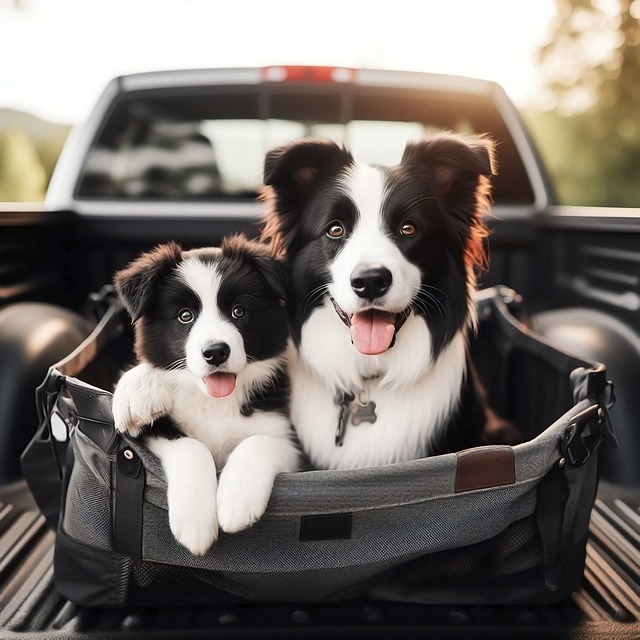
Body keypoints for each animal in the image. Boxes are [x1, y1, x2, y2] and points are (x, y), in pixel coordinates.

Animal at [112, 235, 300, 556]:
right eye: (184, 316)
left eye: (239, 311)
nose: (215, 352)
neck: (216, 402)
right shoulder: (155, 430)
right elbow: (192, 446)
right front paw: (195, 521)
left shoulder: (287, 440)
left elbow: (256, 442)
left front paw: (237, 498)